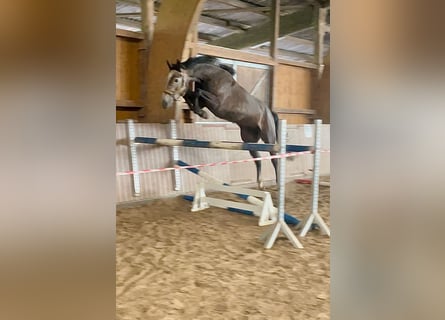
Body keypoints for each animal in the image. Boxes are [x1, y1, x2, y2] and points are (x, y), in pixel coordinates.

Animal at [162, 56, 278, 189]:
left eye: (176, 80)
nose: (164, 102)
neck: (211, 77)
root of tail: (269, 111)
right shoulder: (203, 101)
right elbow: (190, 94)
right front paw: (199, 111)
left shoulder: (217, 104)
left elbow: (198, 92)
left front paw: (203, 114)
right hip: (249, 139)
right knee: (257, 158)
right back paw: (260, 183)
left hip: (268, 138)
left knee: (274, 158)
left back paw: (278, 183)